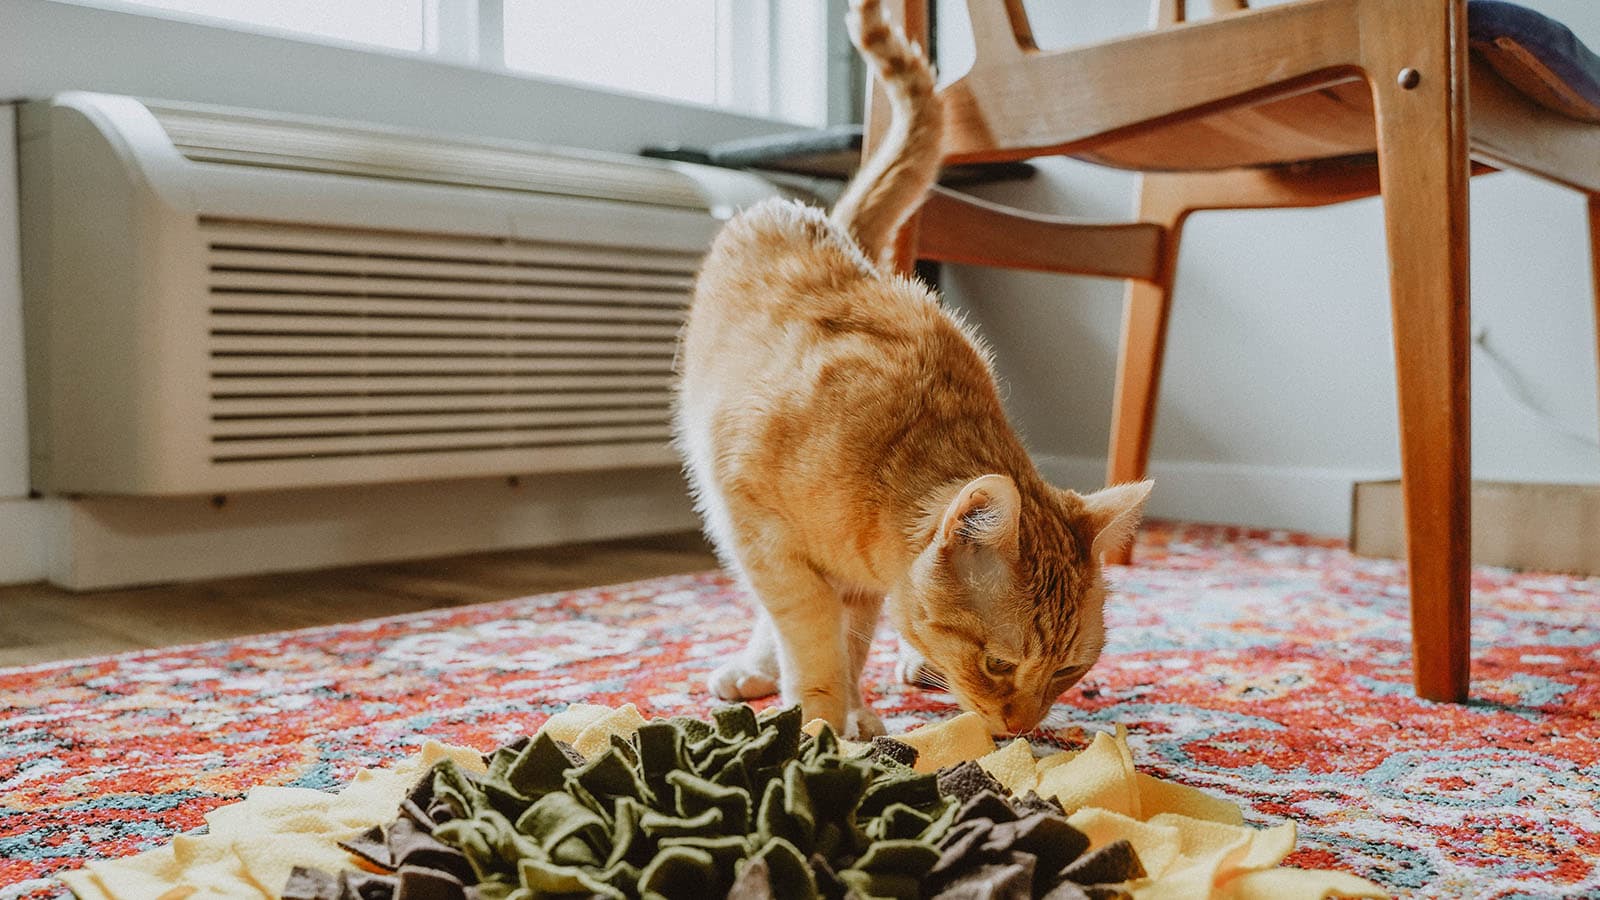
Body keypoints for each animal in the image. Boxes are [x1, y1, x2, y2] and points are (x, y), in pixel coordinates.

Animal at [675, 0, 1152, 736]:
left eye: (1069, 670)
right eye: (999, 664)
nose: (1020, 729)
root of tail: (828, 220)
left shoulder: (857, 581)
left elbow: (851, 639)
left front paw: (853, 712)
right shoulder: (767, 540)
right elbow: (810, 642)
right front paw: (820, 721)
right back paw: (760, 667)